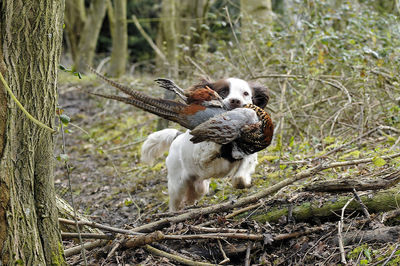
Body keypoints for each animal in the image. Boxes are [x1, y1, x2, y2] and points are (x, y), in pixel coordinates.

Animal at [141, 78, 268, 211]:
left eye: (246, 93)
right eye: (223, 91)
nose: (235, 101)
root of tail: (177, 137)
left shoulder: (249, 154)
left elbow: (240, 179)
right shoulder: (202, 156)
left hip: (200, 186)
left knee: (191, 197)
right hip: (177, 185)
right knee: (175, 204)